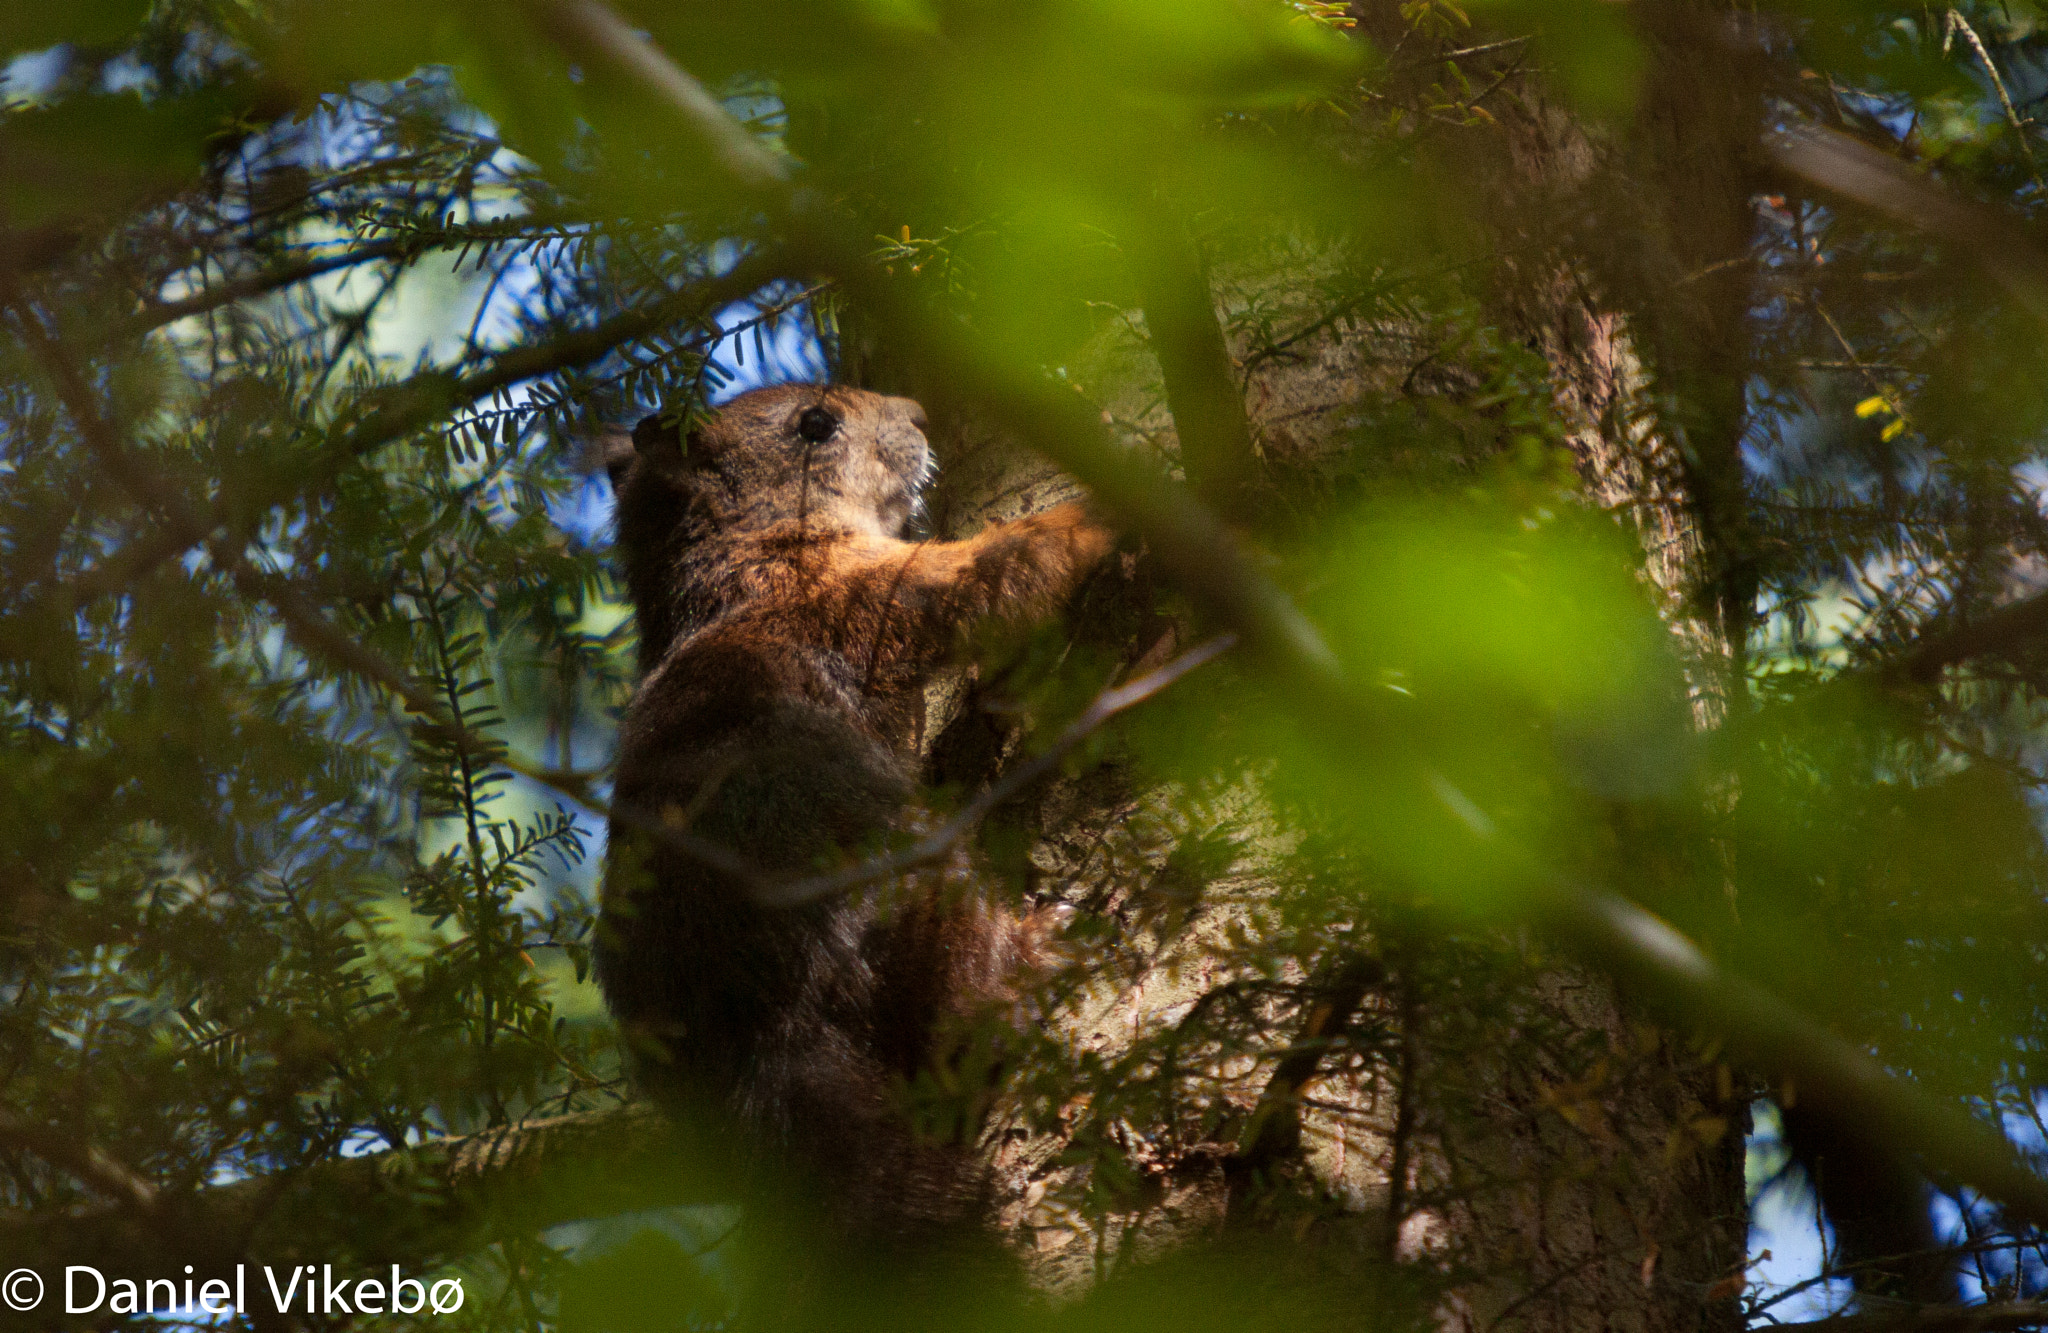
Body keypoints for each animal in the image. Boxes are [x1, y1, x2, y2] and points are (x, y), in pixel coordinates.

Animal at [594, 383, 1116, 1275]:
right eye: (815, 423)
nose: (920, 413)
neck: (744, 557)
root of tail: (769, 1042)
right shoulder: (860, 594)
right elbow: (991, 572)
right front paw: (1112, 511)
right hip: (906, 884)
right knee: (962, 1007)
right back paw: (1039, 954)